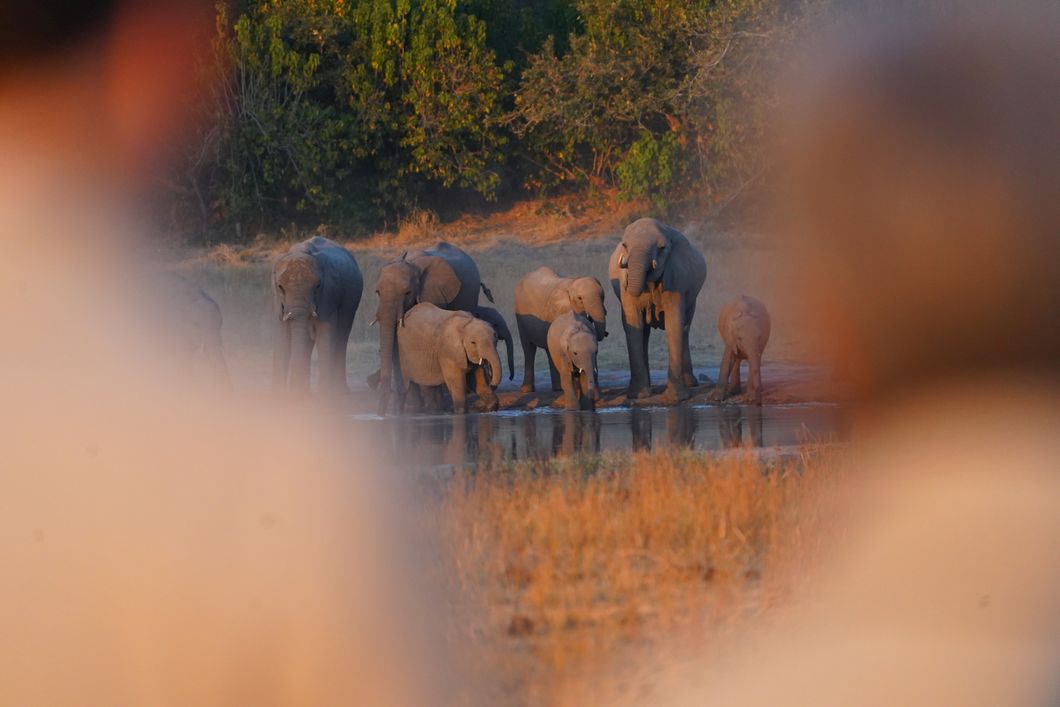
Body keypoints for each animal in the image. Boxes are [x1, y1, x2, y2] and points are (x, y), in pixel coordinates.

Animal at [271, 236, 363, 395]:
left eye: (318, 286)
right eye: (280, 287)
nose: (293, 392)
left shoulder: (329, 296)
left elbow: (326, 335)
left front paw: (323, 396)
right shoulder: (279, 303)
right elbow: (282, 337)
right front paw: (283, 396)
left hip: (351, 305)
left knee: (341, 338)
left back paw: (341, 392)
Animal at [370, 242, 494, 415]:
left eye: (407, 292)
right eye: (378, 292)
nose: (381, 415)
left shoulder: (434, 294)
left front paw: (425, 407)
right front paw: (414, 408)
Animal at [608, 218, 706, 402]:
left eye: (661, 248)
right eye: (625, 246)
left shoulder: (676, 275)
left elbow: (673, 322)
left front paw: (676, 399)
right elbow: (633, 325)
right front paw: (638, 395)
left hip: (693, 299)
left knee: (685, 328)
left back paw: (691, 384)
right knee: (645, 333)